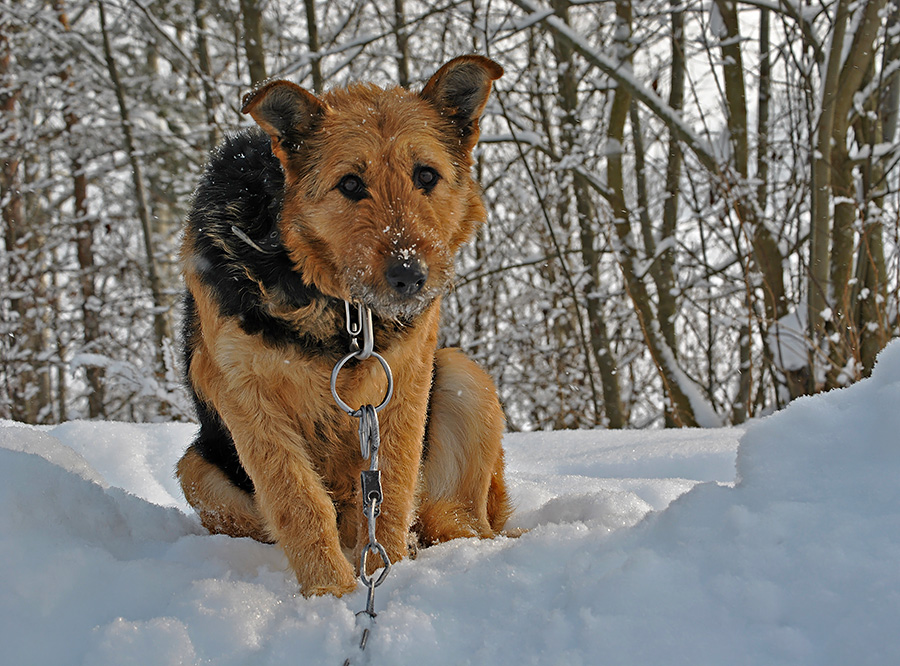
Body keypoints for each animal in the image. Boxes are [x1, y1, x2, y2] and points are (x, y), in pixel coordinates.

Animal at [176, 57, 512, 596]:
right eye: (350, 184)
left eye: (426, 175)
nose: (409, 275)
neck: (339, 307)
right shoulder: (243, 391)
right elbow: (297, 500)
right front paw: (330, 595)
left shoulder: (405, 381)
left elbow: (391, 487)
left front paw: (385, 578)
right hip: (196, 469)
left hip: (464, 378)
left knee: (453, 519)